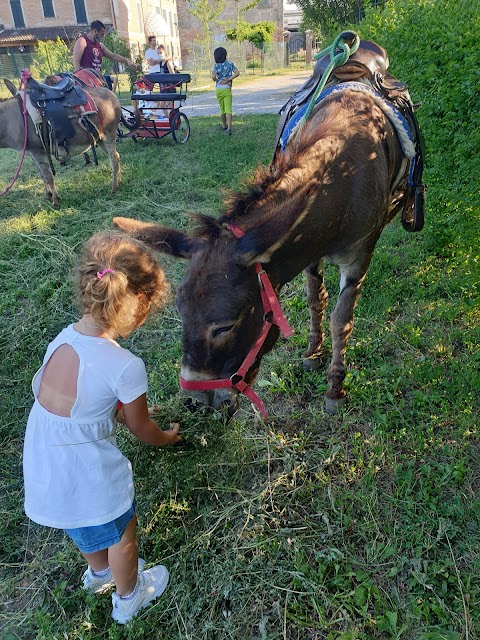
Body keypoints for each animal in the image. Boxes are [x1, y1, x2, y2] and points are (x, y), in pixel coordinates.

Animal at [1, 78, 121, 206]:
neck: (13, 120)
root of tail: (109, 92)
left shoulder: (38, 153)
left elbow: (48, 177)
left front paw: (55, 201)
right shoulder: (32, 155)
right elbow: (42, 175)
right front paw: (48, 196)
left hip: (108, 135)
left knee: (114, 158)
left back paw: (114, 188)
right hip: (99, 138)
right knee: (115, 156)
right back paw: (119, 182)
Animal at [113, 84, 412, 416]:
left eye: (225, 326)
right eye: (181, 314)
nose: (194, 404)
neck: (346, 173)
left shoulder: (360, 254)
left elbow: (341, 319)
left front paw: (335, 387)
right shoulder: (310, 249)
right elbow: (315, 300)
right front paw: (313, 353)